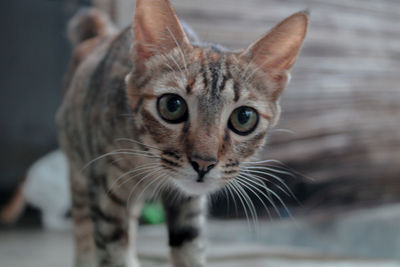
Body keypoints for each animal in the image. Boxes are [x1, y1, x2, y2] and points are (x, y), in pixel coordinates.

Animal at [55, 1, 306, 266]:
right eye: (172, 106)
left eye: (244, 117)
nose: (204, 164)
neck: (148, 163)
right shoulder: (106, 189)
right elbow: (112, 251)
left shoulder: (189, 204)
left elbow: (189, 248)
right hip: (79, 173)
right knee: (83, 228)